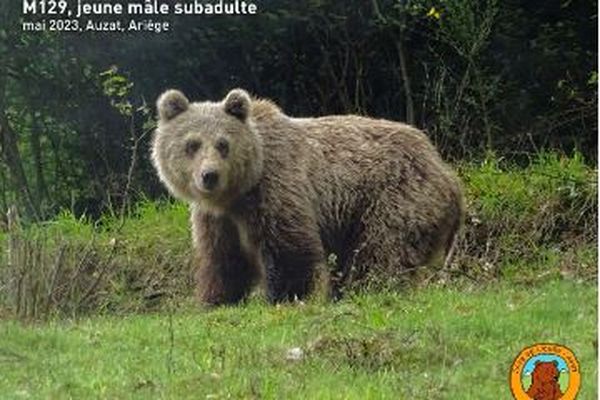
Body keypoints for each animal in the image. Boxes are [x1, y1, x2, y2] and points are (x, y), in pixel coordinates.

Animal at [151, 89, 464, 304]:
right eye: (192, 144)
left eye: (223, 144)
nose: (209, 175)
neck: (237, 195)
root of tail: (446, 171)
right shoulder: (219, 219)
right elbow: (224, 260)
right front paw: (216, 299)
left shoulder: (277, 189)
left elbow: (289, 250)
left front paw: (284, 296)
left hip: (394, 196)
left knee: (382, 251)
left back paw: (369, 290)